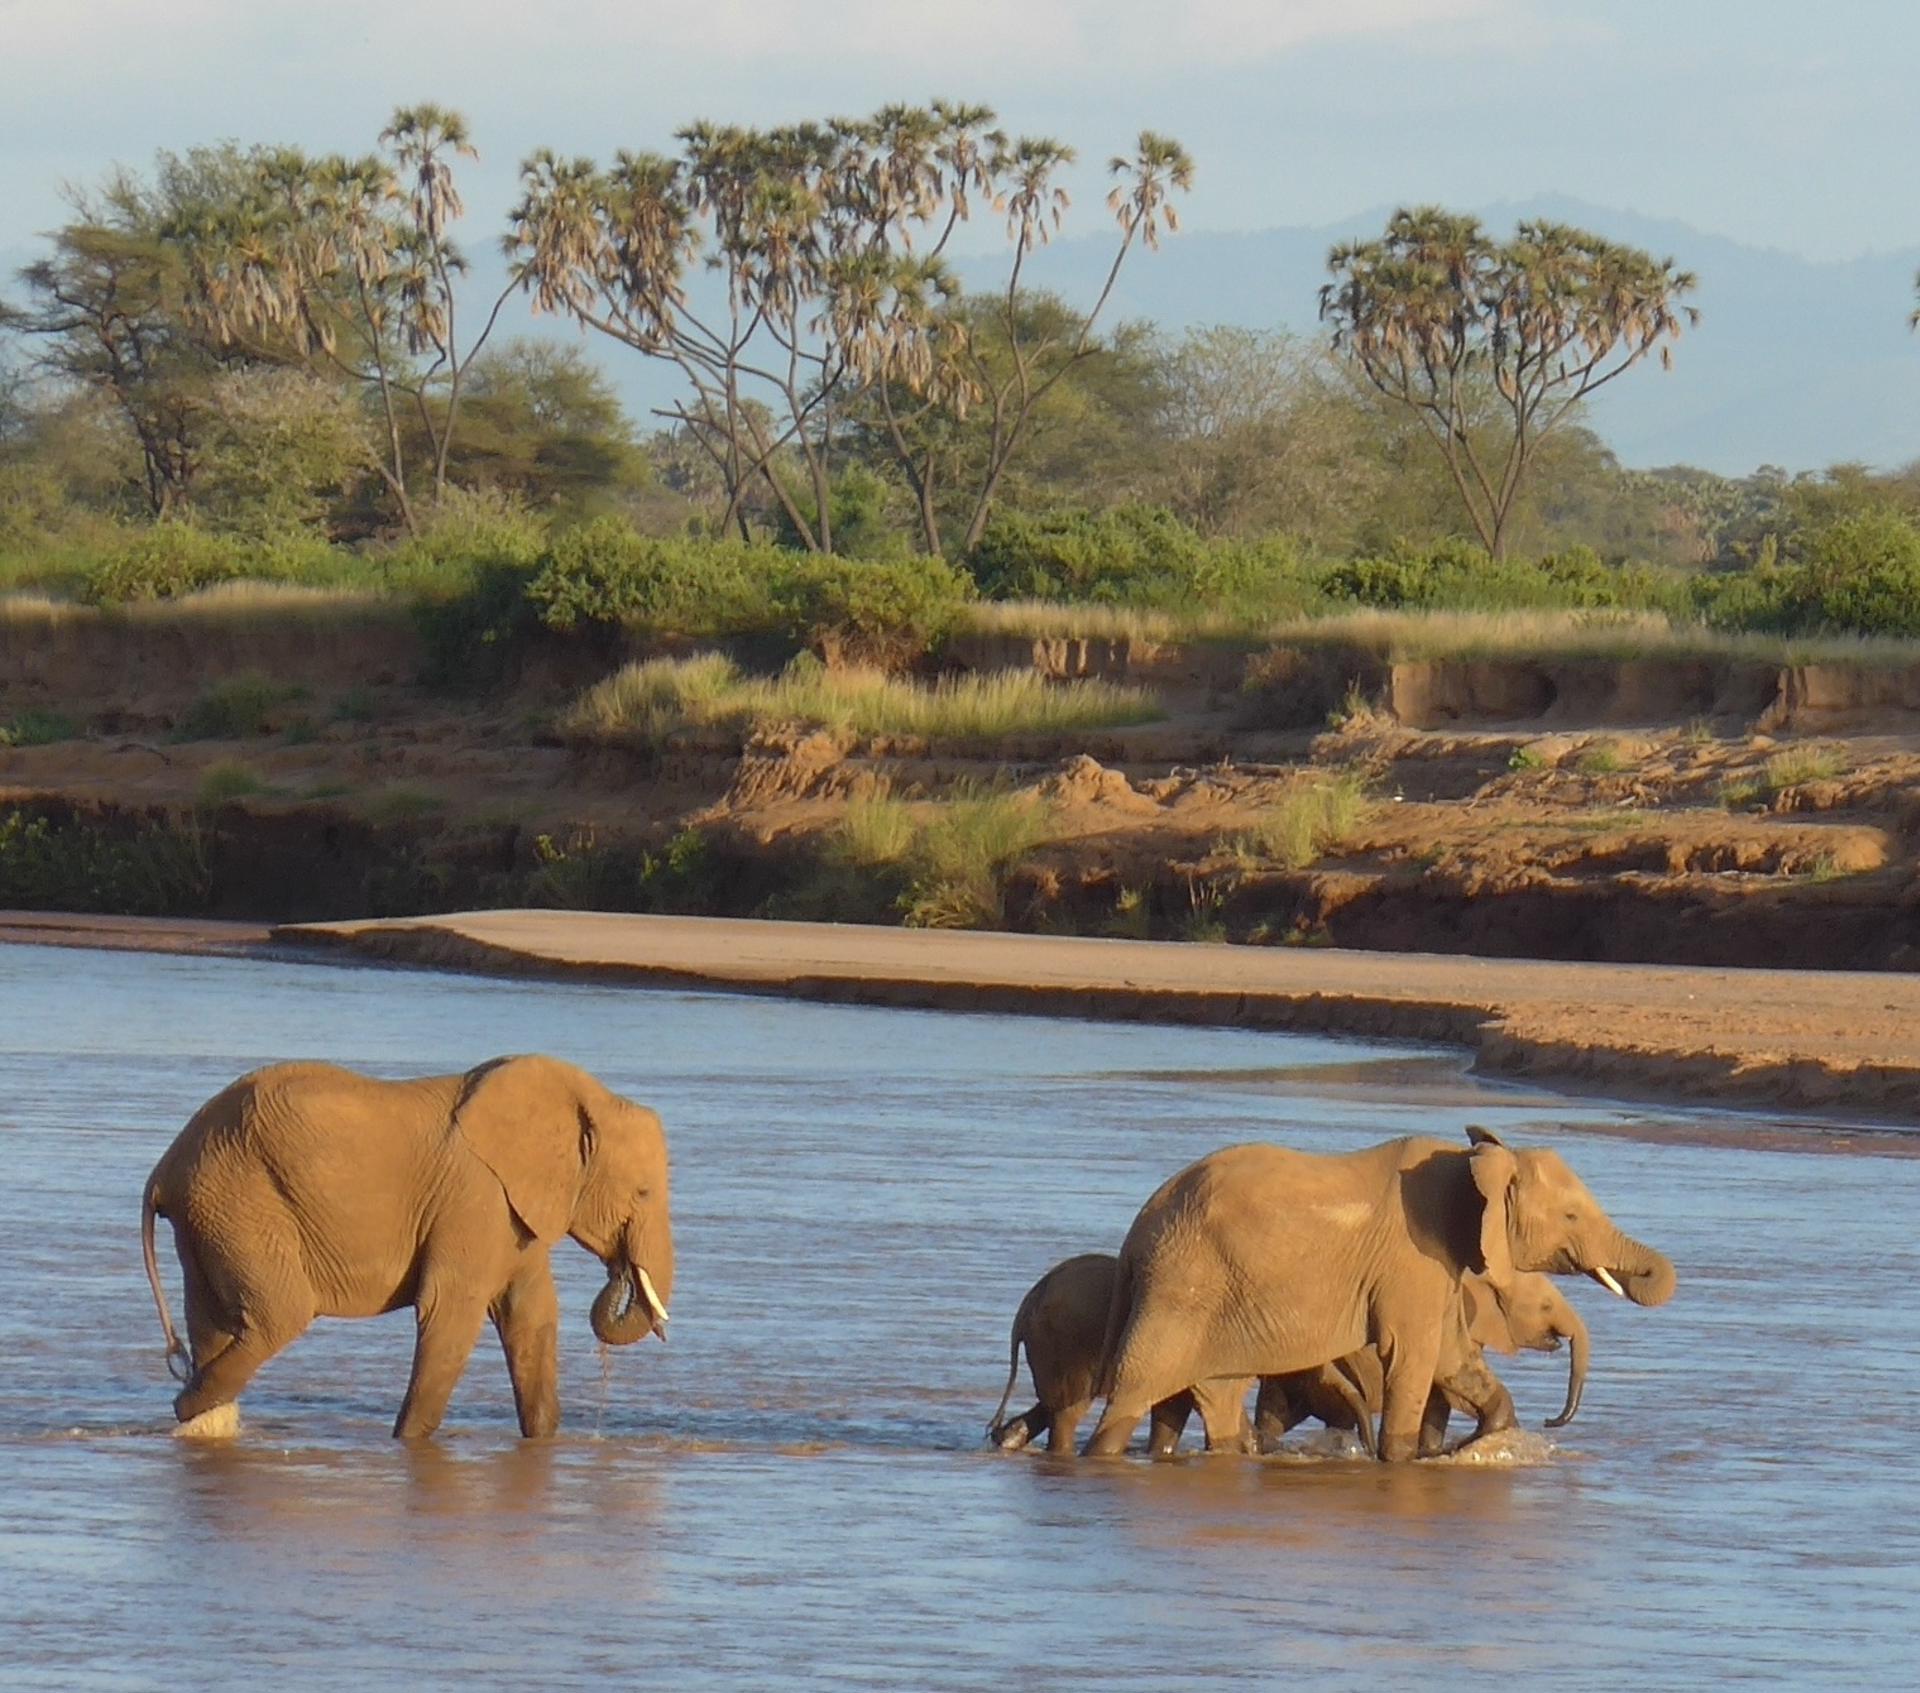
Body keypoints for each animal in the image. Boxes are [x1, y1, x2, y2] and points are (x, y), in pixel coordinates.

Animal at [141, 1054, 674, 1439]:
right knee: (280, 1313)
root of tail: (164, 1169)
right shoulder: (474, 1199)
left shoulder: (513, 1212)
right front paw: (409, 1444)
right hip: (239, 1201)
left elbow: (531, 1315)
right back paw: (188, 1406)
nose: (620, 1271)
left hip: (212, 1213)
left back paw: (198, 1417)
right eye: (644, 1192)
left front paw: (542, 1443)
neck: (586, 1098)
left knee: (214, 1322)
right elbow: (452, 1310)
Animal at [1083, 1125, 1673, 1461]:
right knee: (1134, 1391)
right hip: (1183, 1288)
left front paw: (1481, 1442)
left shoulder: (1439, 1266)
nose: (1554, 1422)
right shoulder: (1412, 1256)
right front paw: (1407, 1459)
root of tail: (1138, 1232)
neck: (1473, 1161)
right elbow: (1414, 1354)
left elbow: (1452, 1355)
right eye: (1571, 1216)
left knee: (1213, 1397)